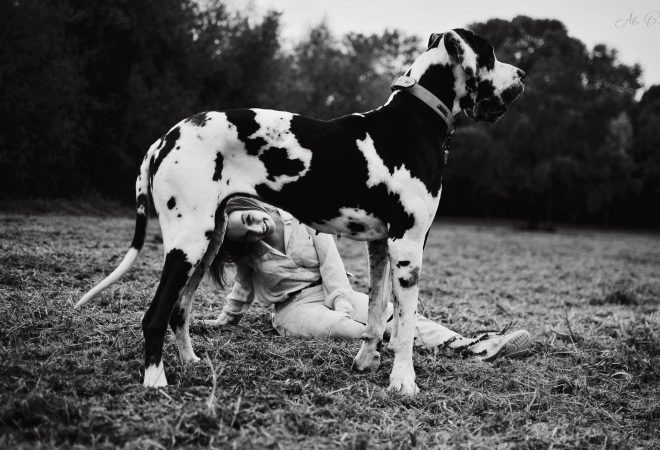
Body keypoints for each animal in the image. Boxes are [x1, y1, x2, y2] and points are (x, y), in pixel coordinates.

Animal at [76, 29, 525, 395]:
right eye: (490, 53)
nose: (522, 74)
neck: (413, 120)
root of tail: (166, 137)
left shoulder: (381, 247)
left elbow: (377, 312)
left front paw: (366, 362)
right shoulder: (408, 247)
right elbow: (405, 325)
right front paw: (403, 382)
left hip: (206, 243)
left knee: (180, 310)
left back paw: (191, 363)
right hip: (187, 245)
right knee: (155, 315)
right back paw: (156, 380)